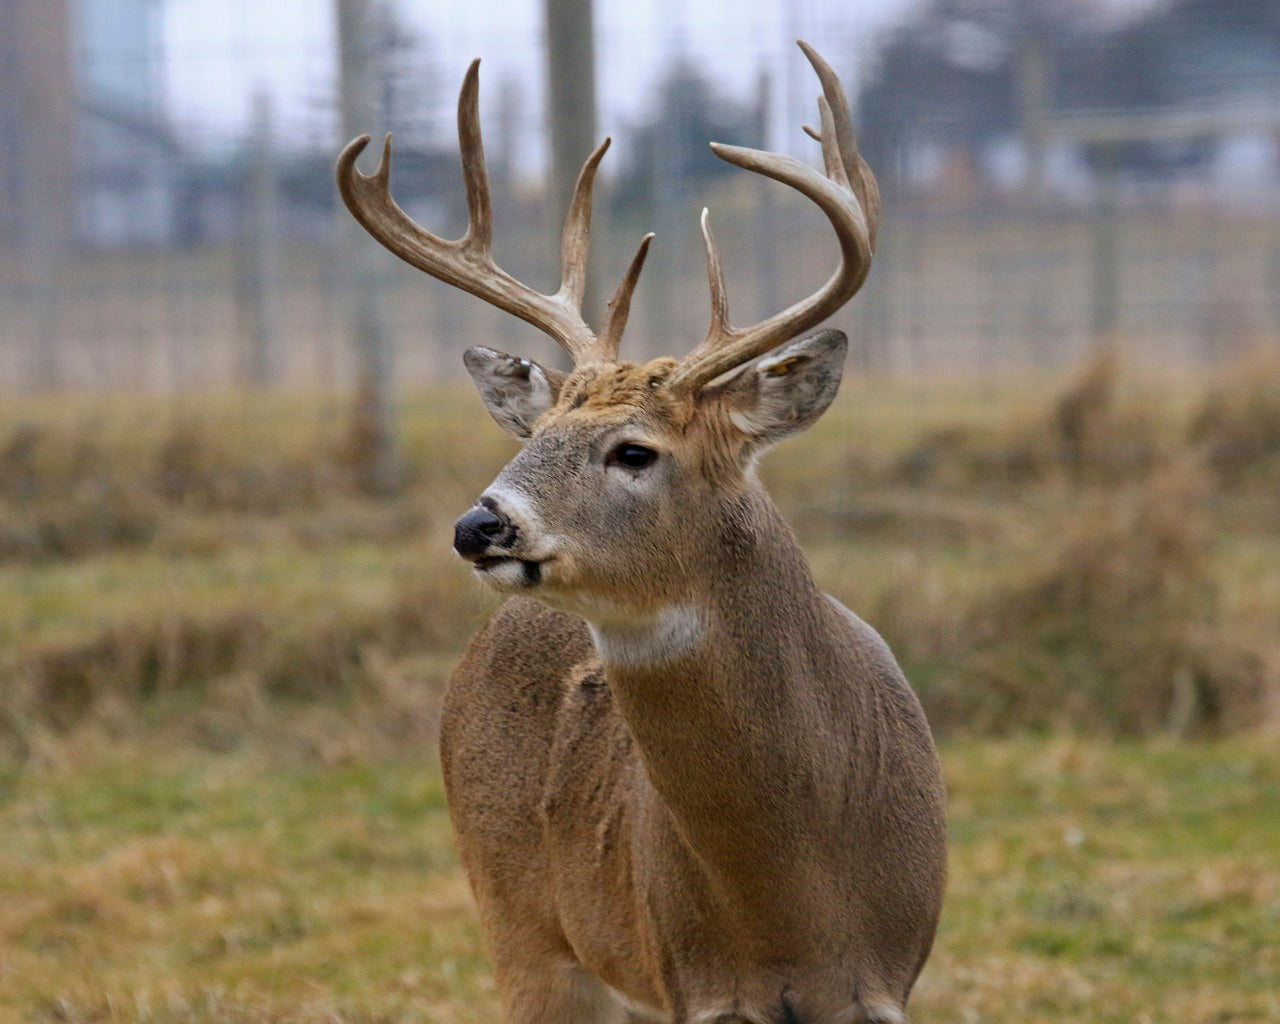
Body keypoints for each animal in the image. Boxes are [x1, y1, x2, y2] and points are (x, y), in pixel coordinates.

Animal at [335, 40, 947, 1024]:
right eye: (537, 435)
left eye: (634, 450)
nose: (481, 525)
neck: (795, 905)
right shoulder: (692, 980)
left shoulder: (888, 981)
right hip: (522, 930)